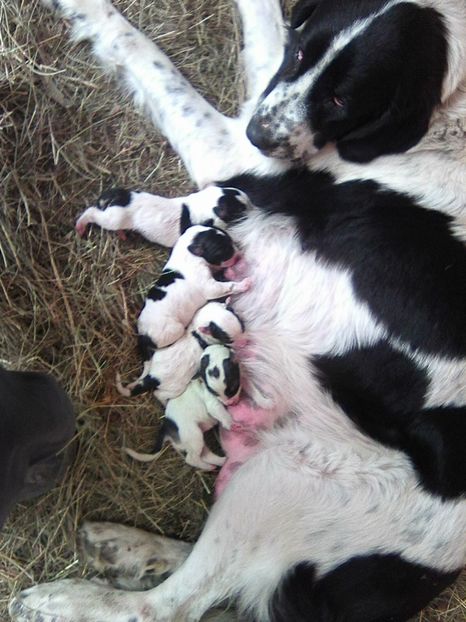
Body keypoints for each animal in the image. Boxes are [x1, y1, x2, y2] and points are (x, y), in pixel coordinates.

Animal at [75, 184, 251, 245]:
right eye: (238, 208)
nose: (251, 204)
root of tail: (119, 196)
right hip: (113, 218)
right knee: (91, 213)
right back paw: (80, 227)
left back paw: (122, 235)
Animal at [136, 227, 251, 358]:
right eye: (224, 250)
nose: (239, 255)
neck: (188, 253)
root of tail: (142, 336)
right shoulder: (210, 287)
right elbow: (227, 286)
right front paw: (244, 284)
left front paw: (230, 272)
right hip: (173, 330)